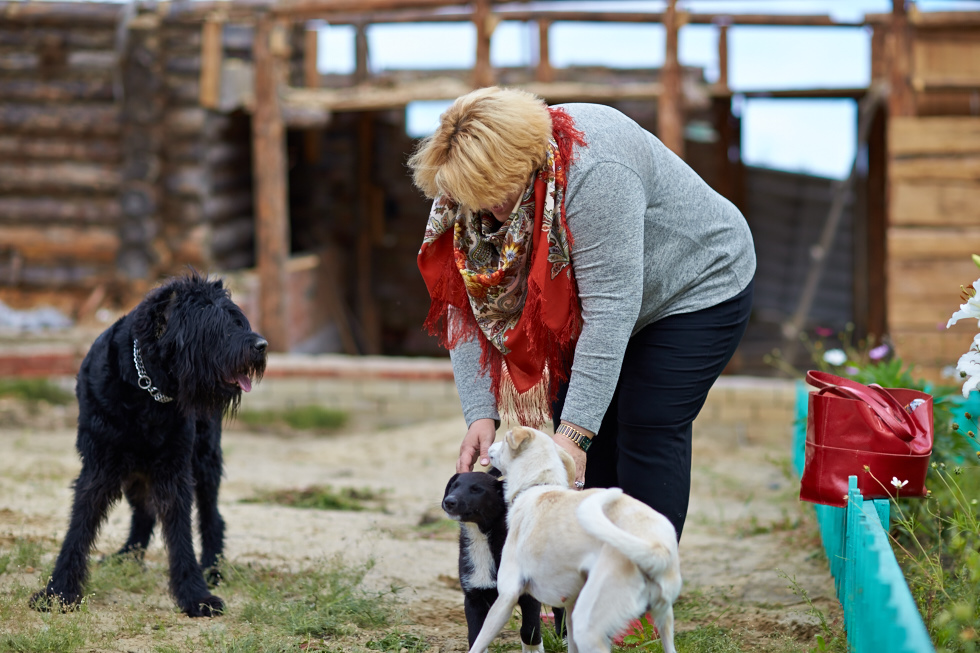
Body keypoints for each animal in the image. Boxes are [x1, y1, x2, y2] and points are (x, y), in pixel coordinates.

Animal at [30, 272, 267, 617]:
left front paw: (195, 595)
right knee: (144, 513)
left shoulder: (175, 469)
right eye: (215, 326)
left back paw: (212, 568)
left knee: (212, 517)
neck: (147, 387)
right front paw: (58, 592)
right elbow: (80, 525)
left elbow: (180, 532)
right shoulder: (99, 465)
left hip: (205, 461)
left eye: (238, 320)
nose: (262, 346)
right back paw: (127, 556)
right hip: (135, 469)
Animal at [442, 470, 565, 652]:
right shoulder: (473, 597)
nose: (449, 501)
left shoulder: (528, 596)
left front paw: (534, 649)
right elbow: (476, 637)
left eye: (477, 489)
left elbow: (529, 630)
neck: (481, 538)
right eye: (454, 486)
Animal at [468, 426, 682, 653]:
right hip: (664, 620)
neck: (536, 486)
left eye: (506, 439)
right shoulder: (570, 606)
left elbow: (478, 643)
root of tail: (657, 549)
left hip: (588, 625)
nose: (489, 447)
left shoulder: (506, 597)